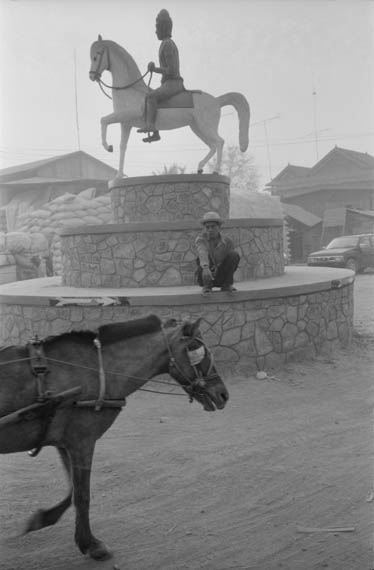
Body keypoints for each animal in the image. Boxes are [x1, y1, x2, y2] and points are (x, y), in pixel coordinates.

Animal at [0, 316, 228, 560]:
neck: (97, 369)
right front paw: (91, 544)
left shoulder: (64, 441)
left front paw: (44, 518)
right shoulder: (82, 440)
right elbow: (82, 495)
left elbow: (72, 490)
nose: (223, 394)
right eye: (195, 347)